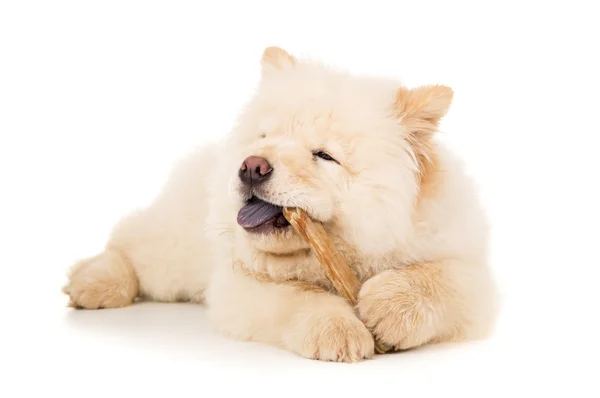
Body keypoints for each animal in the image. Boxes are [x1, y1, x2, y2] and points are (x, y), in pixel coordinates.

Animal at [63, 47, 500, 364]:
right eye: (265, 137)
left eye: (324, 156)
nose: (251, 166)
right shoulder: (240, 284)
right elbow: (299, 295)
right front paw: (339, 331)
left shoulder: (469, 269)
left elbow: (441, 279)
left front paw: (388, 307)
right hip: (174, 256)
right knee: (129, 243)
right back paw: (93, 283)